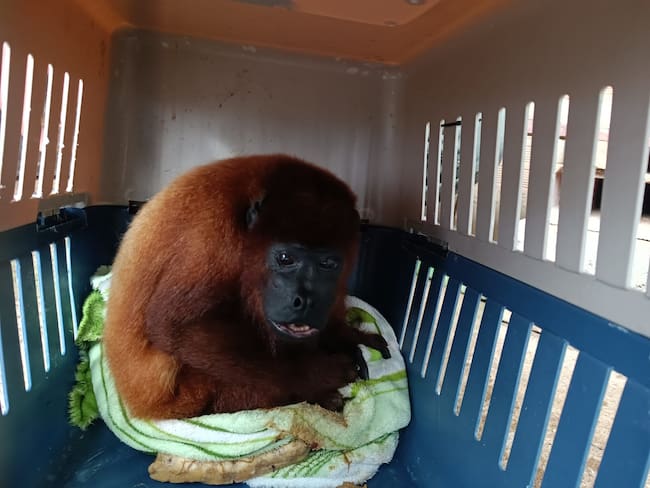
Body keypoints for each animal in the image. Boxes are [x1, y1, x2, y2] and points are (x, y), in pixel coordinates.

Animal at [103, 154, 390, 420]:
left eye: (328, 263)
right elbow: (178, 326)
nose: (305, 301)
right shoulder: (209, 234)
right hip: (194, 394)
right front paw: (320, 373)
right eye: (285, 258)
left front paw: (350, 338)